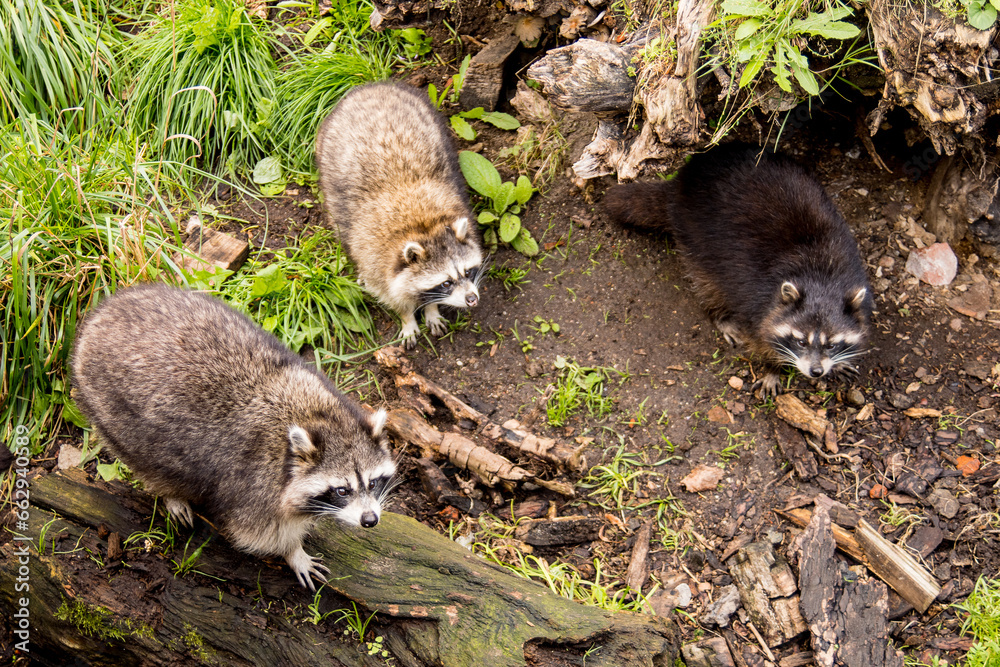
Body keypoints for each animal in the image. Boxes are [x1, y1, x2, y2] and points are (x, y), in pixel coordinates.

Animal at [71, 284, 395, 590]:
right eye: (341, 490)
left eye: (373, 482)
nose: (370, 521)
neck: (318, 417)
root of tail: (102, 312)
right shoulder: (255, 483)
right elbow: (259, 532)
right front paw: (293, 552)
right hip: (110, 408)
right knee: (147, 461)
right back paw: (170, 493)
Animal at [316, 82, 483, 349]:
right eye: (446, 283)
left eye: (468, 272)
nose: (472, 298)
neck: (423, 227)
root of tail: (371, 87)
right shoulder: (376, 259)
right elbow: (390, 293)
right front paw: (407, 317)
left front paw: (432, 309)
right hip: (327, 154)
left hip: (431, 117)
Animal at [605, 144, 873, 395]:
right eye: (800, 342)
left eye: (831, 344)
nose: (816, 371)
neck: (820, 277)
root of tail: (683, 179)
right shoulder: (756, 299)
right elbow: (759, 337)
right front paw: (772, 367)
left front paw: (838, 362)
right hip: (695, 234)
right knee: (707, 283)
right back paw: (720, 315)